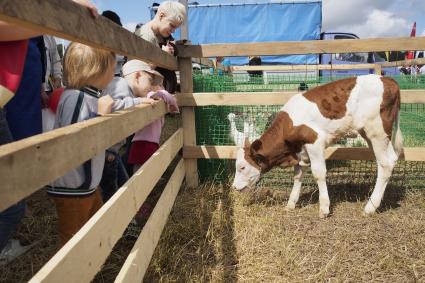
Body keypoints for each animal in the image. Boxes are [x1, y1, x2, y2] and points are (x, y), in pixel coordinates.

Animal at [232, 74, 400, 219]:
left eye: (242, 167)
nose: (233, 187)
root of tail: (389, 80)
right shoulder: (300, 151)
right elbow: (298, 175)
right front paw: (291, 204)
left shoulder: (314, 142)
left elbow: (319, 173)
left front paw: (324, 208)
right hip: (371, 134)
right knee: (390, 159)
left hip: (377, 131)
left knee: (385, 164)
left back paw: (370, 207)